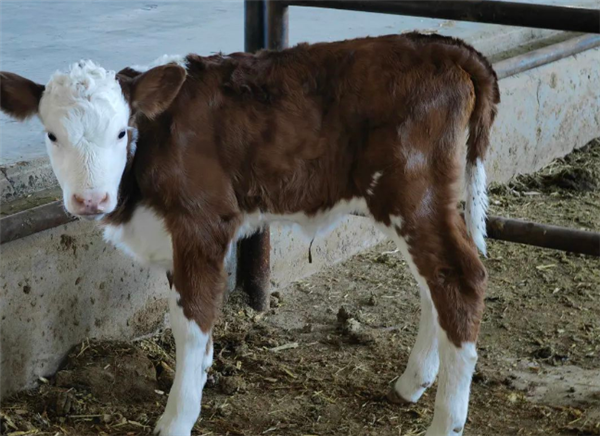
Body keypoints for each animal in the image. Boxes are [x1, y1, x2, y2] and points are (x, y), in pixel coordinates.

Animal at [0, 32, 500, 434]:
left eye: (122, 132)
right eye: (51, 136)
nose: (90, 200)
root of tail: (437, 44)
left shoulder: (202, 223)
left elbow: (190, 321)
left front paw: (178, 417)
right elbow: (191, 324)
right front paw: (202, 373)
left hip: (413, 194)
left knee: (460, 279)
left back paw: (444, 421)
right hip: (421, 204)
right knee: (433, 284)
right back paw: (413, 381)